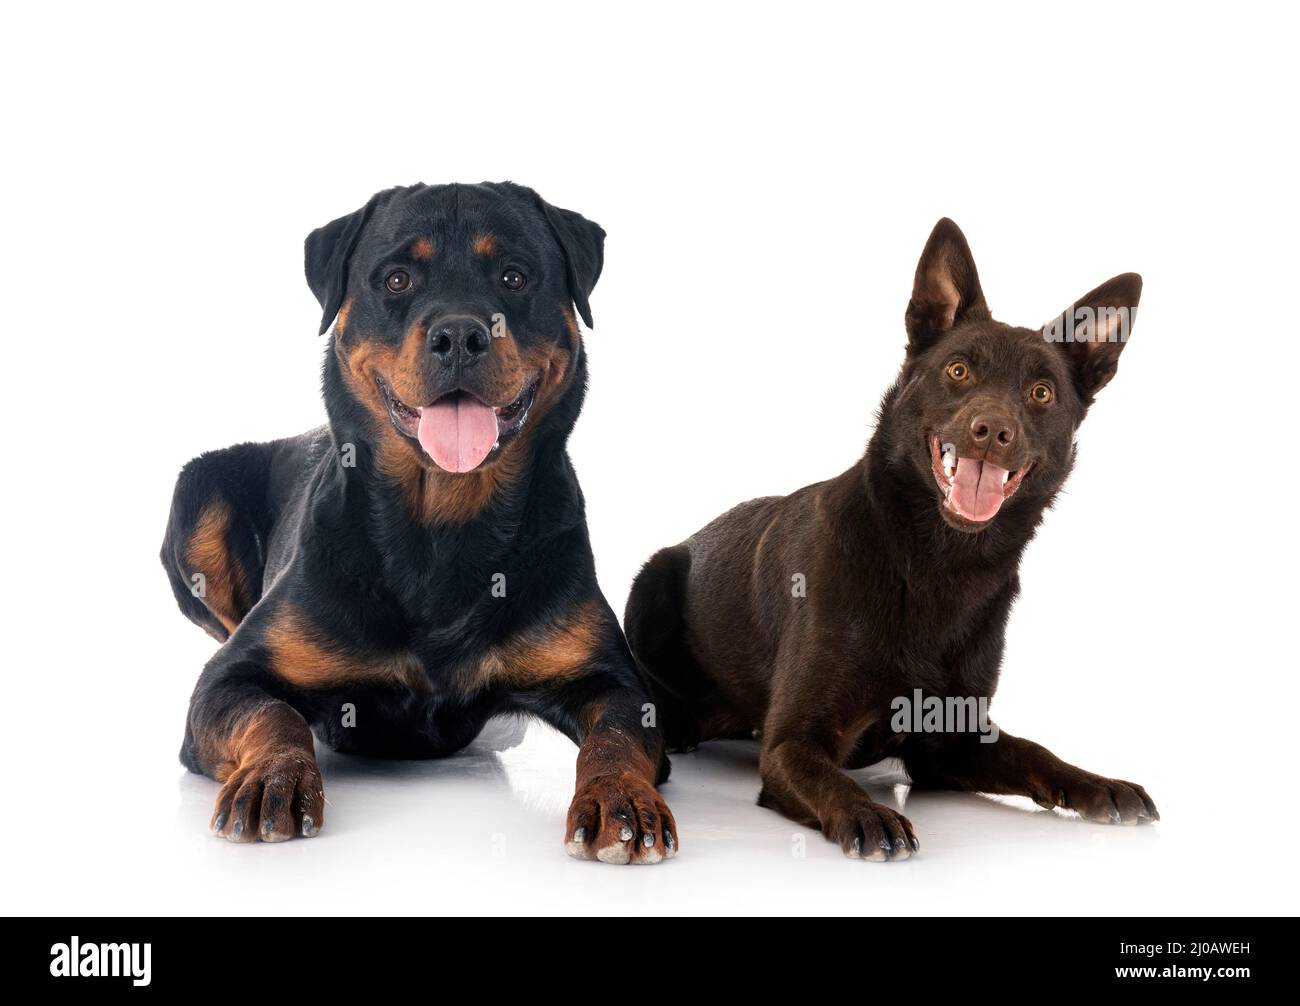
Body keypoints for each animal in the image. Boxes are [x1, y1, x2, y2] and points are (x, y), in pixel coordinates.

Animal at [159, 183, 681, 868]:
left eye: (514, 277)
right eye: (397, 279)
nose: (459, 333)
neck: (443, 527)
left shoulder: (615, 683)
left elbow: (616, 735)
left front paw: (621, 802)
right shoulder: (230, 679)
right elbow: (273, 715)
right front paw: (272, 778)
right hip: (198, 497)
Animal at [626, 218, 1159, 857]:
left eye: (1042, 393)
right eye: (958, 371)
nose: (992, 430)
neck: (938, 564)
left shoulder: (950, 744)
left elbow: (1036, 752)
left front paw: (1098, 784)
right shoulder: (790, 743)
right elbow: (827, 777)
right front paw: (867, 813)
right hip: (651, 579)